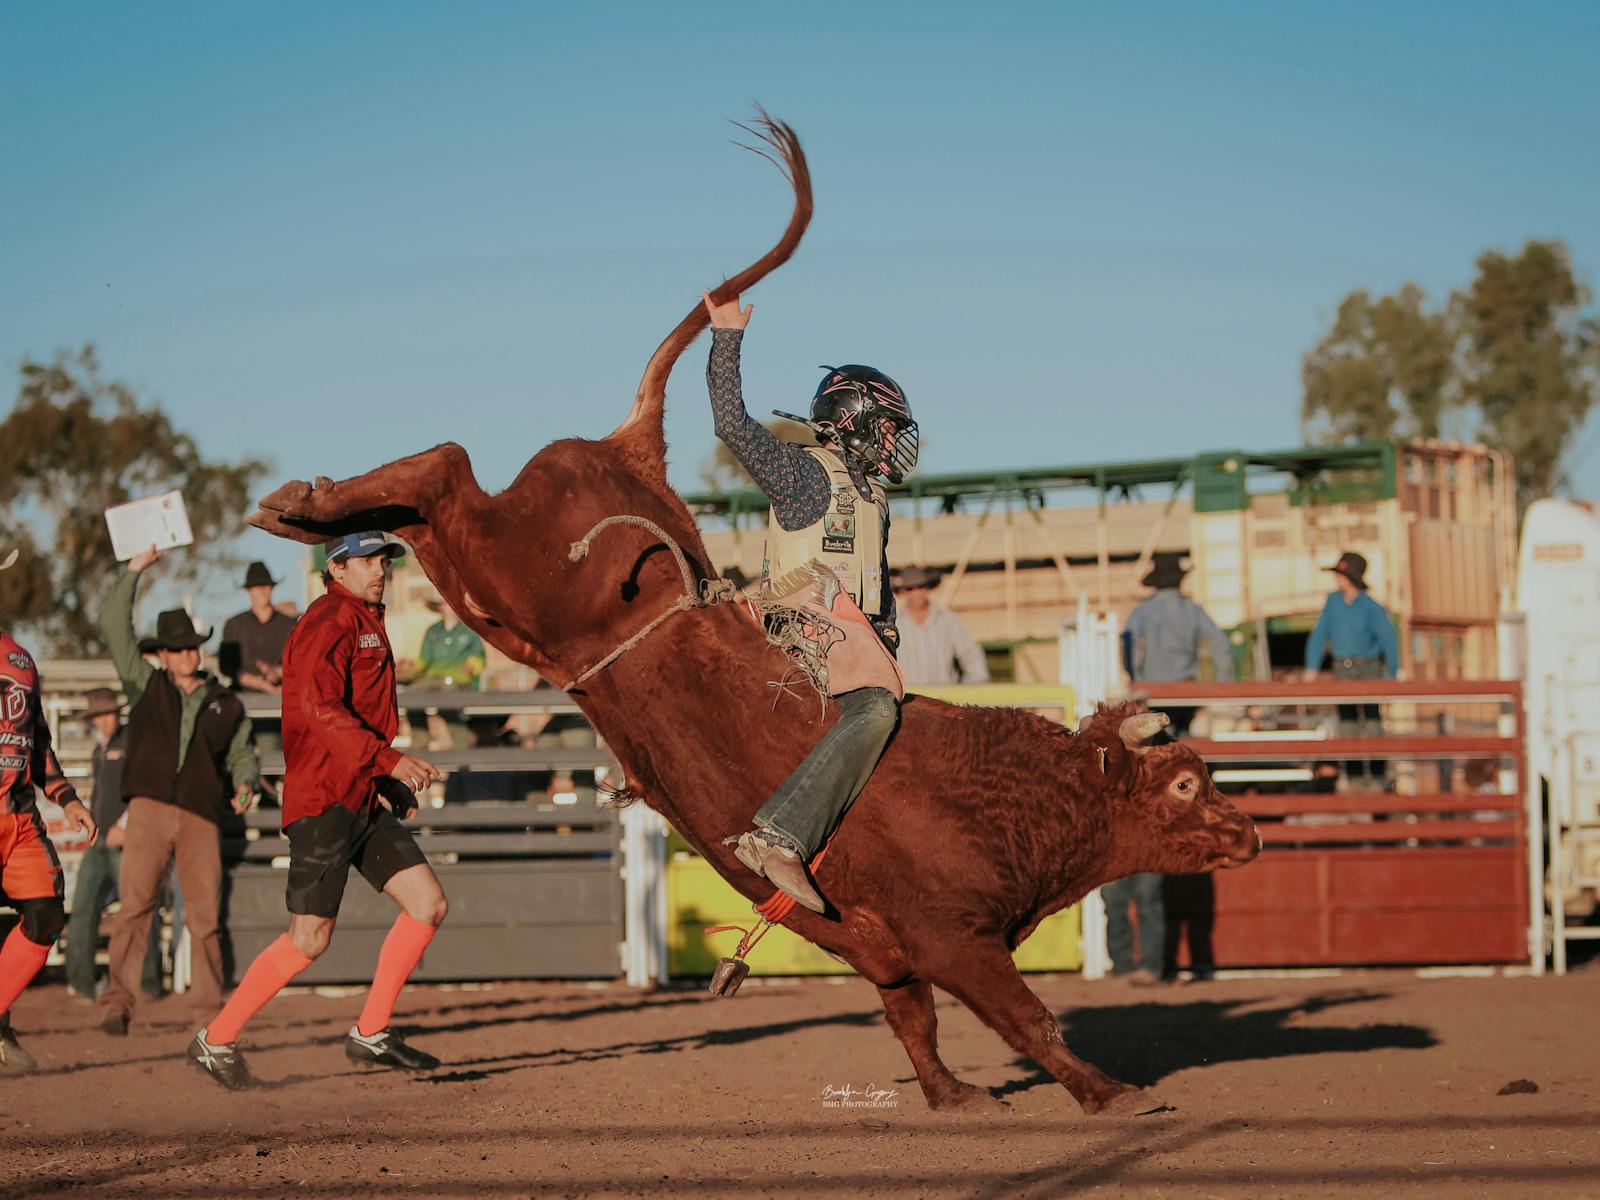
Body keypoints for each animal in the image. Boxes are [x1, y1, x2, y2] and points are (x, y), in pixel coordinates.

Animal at [249, 115, 1254, 1120]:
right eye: (1182, 785)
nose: (1246, 832)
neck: (1011, 792)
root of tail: (629, 449)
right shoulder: (952, 936)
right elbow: (1026, 1017)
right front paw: (1114, 1094)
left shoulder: (890, 953)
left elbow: (913, 1020)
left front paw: (953, 1096)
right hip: (518, 559)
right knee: (446, 465)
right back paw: (301, 501)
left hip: (496, 596)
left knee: (430, 504)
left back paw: (308, 510)